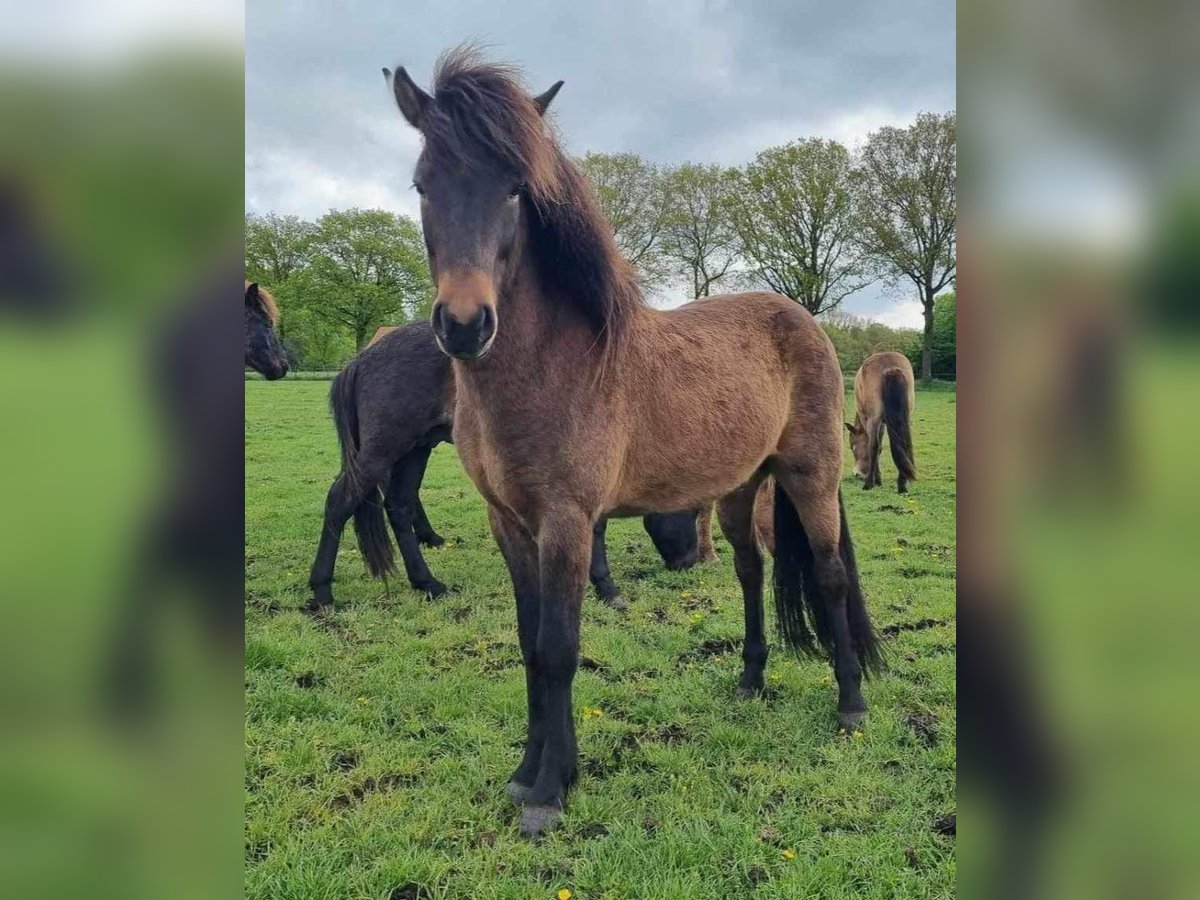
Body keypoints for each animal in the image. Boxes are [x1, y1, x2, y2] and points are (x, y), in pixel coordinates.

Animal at [307, 321, 700, 614]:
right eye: (693, 509)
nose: (688, 561)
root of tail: (361, 360)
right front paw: (607, 589)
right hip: (383, 448)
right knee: (339, 503)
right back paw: (322, 591)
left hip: (414, 448)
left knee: (400, 507)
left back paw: (428, 583)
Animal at [844, 352, 916, 494]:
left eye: (852, 446)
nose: (857, 473)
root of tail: (890, 368)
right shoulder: (883, 423)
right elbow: (881, 447)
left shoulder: (868, 419)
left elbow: (874, 446)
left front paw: (876, 480)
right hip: (906, 416)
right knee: (903, 443)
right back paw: (902, 485)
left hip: (873, 419)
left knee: (873, 445)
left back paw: (868, 484)